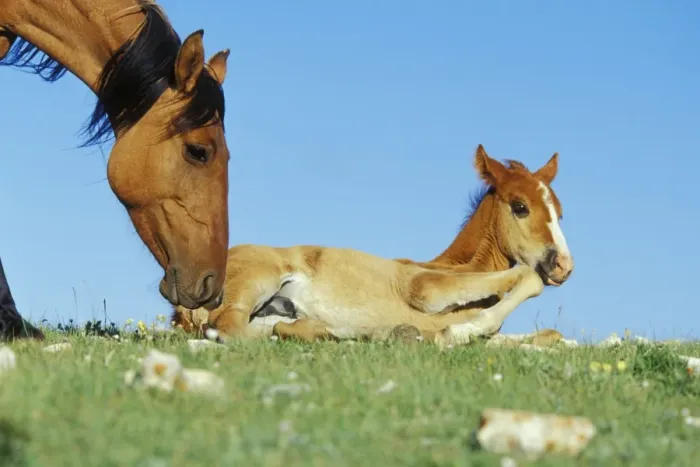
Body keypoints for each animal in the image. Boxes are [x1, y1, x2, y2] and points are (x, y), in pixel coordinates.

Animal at [172, 145, 574, 347]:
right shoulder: (424, 290)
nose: (563, 266)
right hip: (258, 278)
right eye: (520, 206)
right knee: (229, 325)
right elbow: (527, 278)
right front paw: (449, 333)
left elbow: (549, 336)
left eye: (559, 212)